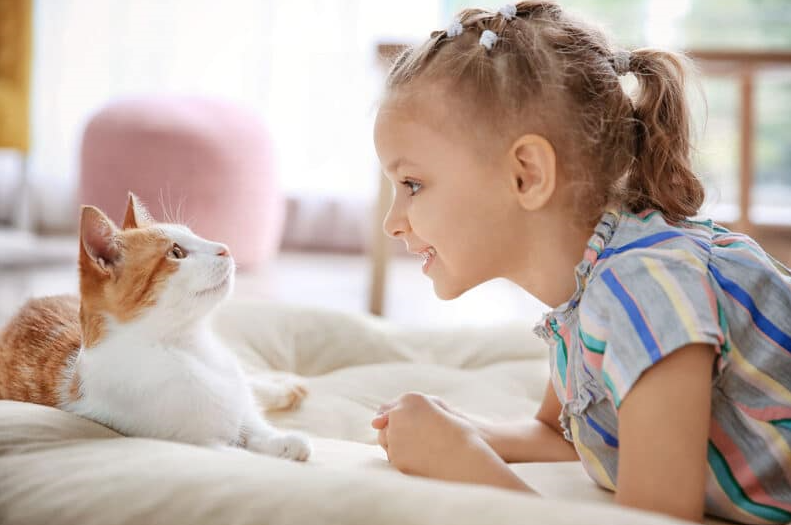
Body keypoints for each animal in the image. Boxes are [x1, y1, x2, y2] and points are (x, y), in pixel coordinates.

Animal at [0, 192, 312, 458]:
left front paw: (283, 440)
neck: (187, 348)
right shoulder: (201, 442)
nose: (225, 249)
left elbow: (255, 426)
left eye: (194, 235)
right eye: (176, 253)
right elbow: (239, 450)